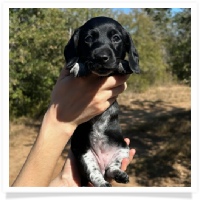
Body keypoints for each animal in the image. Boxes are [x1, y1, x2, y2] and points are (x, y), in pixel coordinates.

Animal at [64, 15, 139, 186]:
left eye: (116, 38)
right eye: (88, 38)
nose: (101, 57)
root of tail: (103, 163)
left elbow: (122, 64)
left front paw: (123, 64)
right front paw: (79, 65)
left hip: (122, 149)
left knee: (112, 168)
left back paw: (119, 174)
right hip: (84, 155)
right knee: (95, 175)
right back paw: (104, 183)